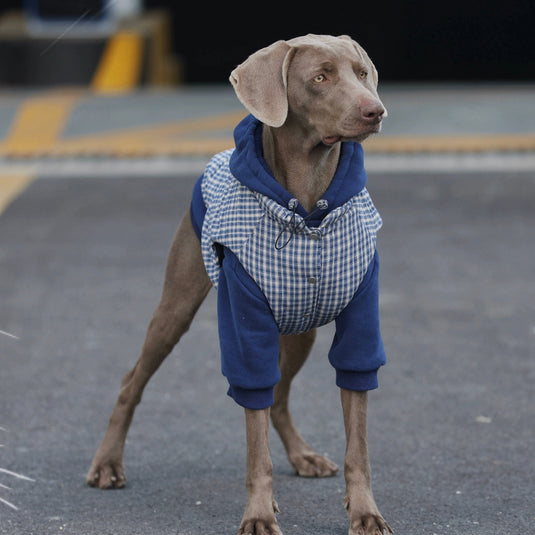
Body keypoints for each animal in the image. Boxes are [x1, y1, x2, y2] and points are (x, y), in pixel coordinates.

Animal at [88, 34, 394, 535]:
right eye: (320, 77)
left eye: (362, 73)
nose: (375, 111)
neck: (307, 204)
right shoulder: (245, 324)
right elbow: (255, 439)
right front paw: (258, 514)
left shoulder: (360, 320)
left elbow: (359, 443)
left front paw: (365, 511)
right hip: (177, 306)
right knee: (133, 380)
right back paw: (107, 463)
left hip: (302, 330)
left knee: (280, 397)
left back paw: (303, 455)